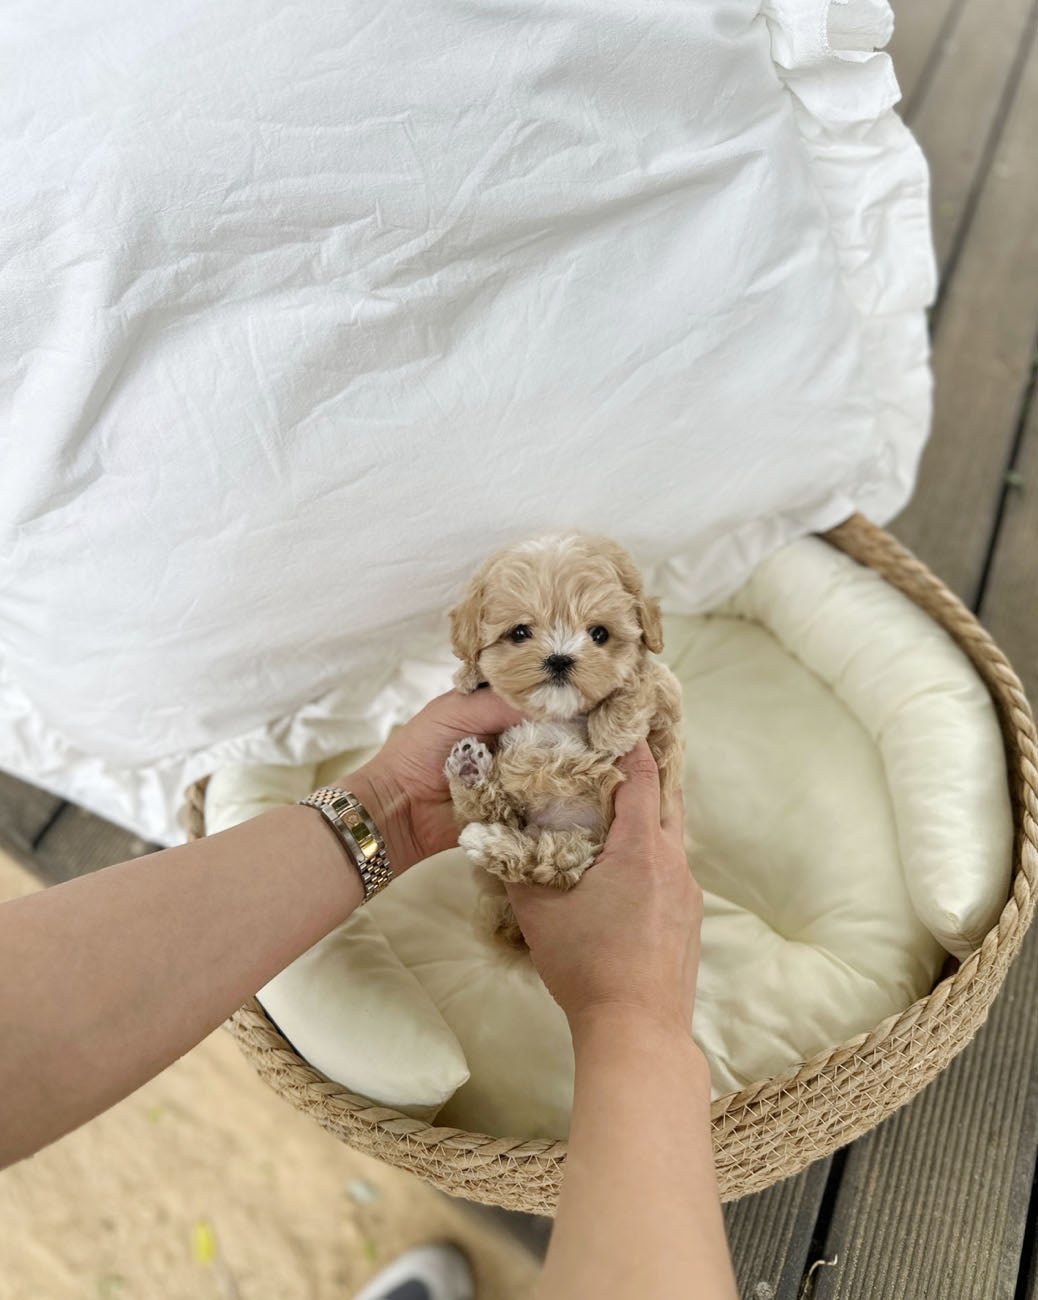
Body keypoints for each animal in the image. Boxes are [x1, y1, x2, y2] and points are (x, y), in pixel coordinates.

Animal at [442, 530, 686, 946]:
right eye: (520, 632)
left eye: (599, 634)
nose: (559, 658)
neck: (560, 714)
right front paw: (469, 675)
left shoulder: (664, 735)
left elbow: (646, 678)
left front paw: (612, 728)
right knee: (503, 823)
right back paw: (470, 774)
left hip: (585, 846)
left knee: (547, 863)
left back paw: (485, 835)